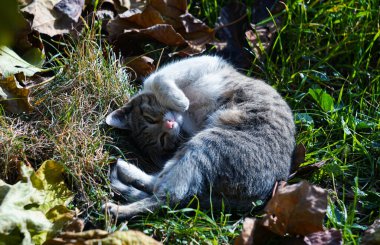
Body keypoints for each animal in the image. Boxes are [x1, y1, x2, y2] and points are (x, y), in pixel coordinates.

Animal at [104, 56, 296, 220]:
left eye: (149, 118)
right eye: (162, 139)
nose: (170, 126)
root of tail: (264, 195)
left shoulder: (201, 63)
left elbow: (160, 78)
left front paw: (180, 100)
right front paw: (182, 103)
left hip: (204, 145)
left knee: (165, 189)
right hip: (204, 146)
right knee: (168, 193)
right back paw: (121, 193)